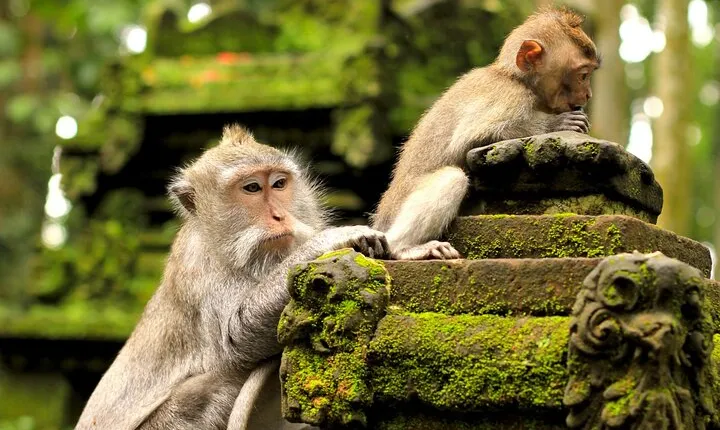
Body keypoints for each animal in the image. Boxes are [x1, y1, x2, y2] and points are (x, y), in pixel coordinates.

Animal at [75, 124, 389, 430]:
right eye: (252, 188)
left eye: (279, 184)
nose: (279, 216)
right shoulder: (200, 267)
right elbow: (235, 339)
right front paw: (329, 240)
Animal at [372, 8, 600, 260]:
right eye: (583, 75)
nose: (588, 95)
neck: (514, 77)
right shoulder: (510, 96)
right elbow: (469, 139)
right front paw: (557, 123)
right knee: (452, 178)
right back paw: (404, 248)